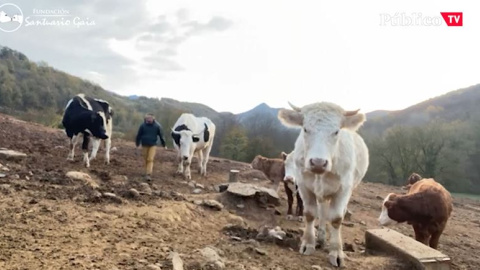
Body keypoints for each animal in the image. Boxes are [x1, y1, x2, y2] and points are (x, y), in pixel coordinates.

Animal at [278, 102, 368, 268]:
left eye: (336, 131)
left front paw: (336, 252)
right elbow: (309, 214)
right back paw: (320, 237)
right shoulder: (303, 186)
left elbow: (336, 219)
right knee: (322, 212)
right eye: (305, 129)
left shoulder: (343, 189)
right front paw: (308, 244)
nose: (318, 162)